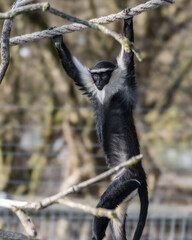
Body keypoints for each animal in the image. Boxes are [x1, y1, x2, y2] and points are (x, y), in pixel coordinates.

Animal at [52, 16, 148, 240]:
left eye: (104, 74)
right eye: (96, 75)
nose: (99, 80)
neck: (106, 89)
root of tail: (141, 174)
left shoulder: (124, 80)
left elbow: (128, 55)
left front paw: (128, 21)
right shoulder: (90, 85)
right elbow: (75, 72)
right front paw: (58, 40)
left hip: (125, 180)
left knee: (106, 203)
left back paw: (97, 233)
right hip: (124, 187)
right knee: (115, 216)